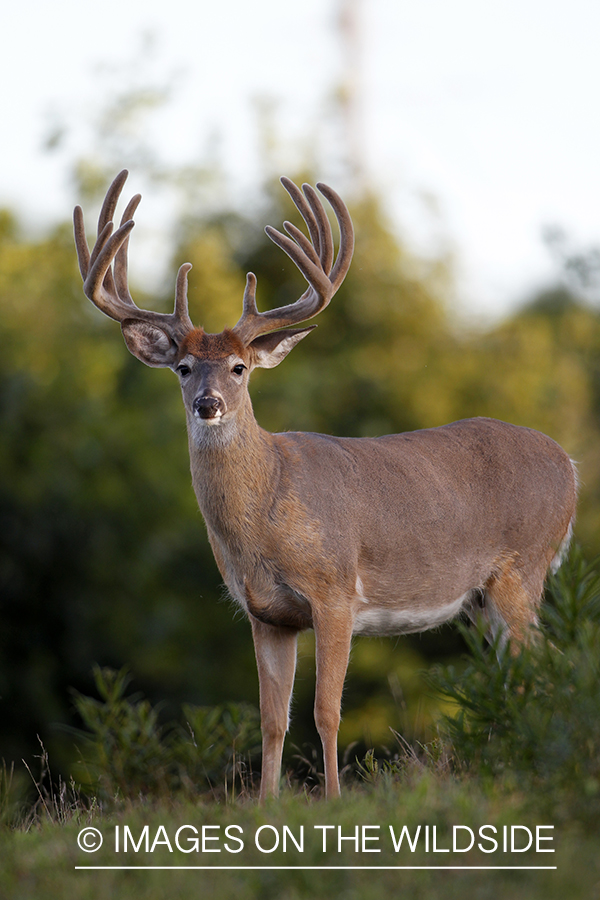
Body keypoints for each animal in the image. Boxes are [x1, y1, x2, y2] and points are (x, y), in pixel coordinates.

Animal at [74, 171, 576, 800]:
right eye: (184, 368)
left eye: (239, 367)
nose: (208, 404)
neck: (267, 509)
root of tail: (571, 464)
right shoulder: (266, 613)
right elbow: (272, 717)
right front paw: (266, 803)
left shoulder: (335, 591)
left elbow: (327, 711)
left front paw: (334, 799)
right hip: (484, 598)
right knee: (523, 671)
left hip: (522, 570)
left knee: (544, 665)